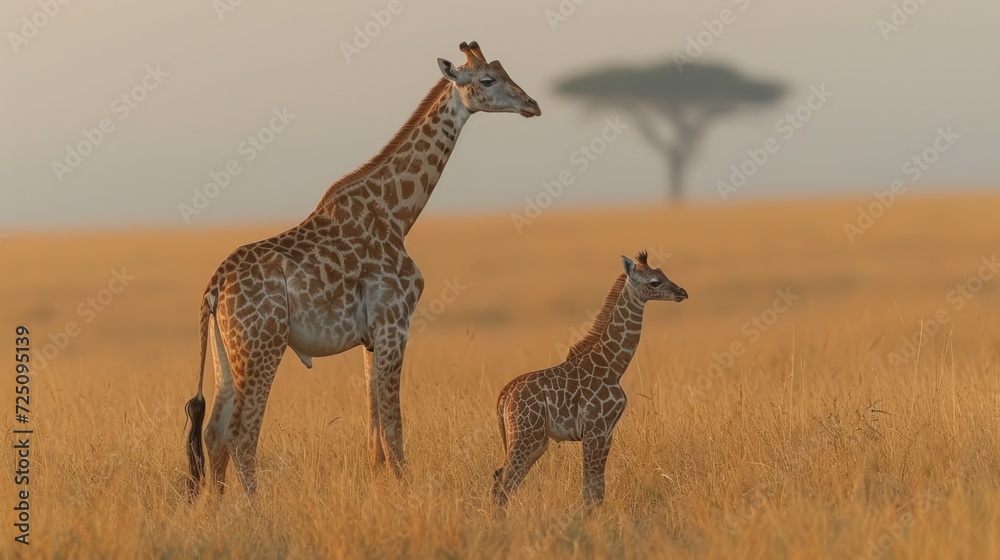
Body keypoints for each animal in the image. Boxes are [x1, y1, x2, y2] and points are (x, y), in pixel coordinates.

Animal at [183, 41, 540, 498]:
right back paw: (253, 508)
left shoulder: (370, 337)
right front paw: (407, 495)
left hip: (226, 352)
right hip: (263, 345)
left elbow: (373, 435)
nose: (531, 105)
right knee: (241, 434)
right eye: (488, 80)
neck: (397, 213)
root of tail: (214, 287)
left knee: (213, 432)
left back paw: (218, 505)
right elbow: (392, 428)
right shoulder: (395, 321)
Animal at [491, 252, 687, 507]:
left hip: (535, 441)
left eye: (663, 274)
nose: (682, 292)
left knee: (501, 480)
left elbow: (597, 488)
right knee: (504, 484)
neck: (613, 365)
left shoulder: (607, 431)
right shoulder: (596, 428)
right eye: (655, 282)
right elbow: (592, 489)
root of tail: (504, 397)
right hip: (527, 435)